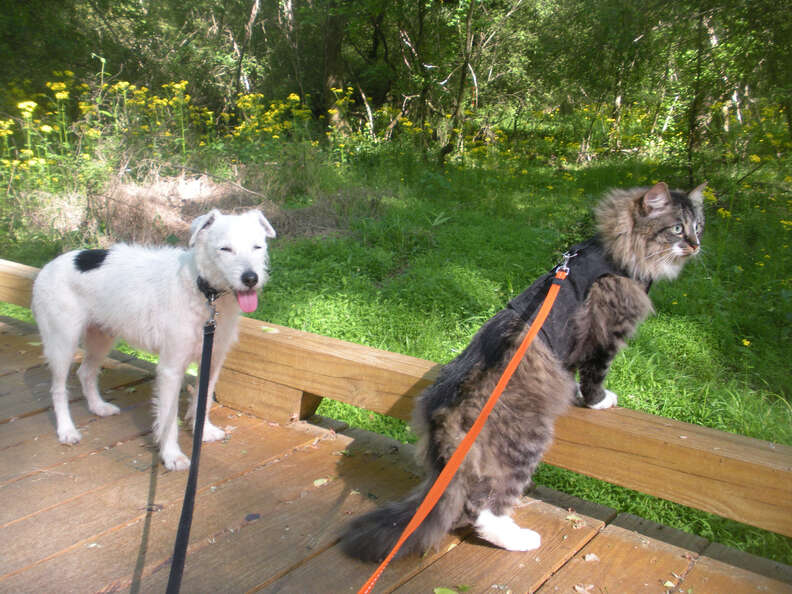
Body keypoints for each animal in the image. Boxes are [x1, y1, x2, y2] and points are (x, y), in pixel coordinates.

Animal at [31, 208, 276, 468]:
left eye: (257, 247)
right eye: (225, 249)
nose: (251, 278)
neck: (203, 291)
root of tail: (48, 266)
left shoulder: (211, 361)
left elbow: (204, 399)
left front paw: (204, 431)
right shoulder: (171, 369)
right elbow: (168, 418)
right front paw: (172, 455)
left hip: (101, 337)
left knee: (85, 372)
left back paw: (98, 407)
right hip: (62, 343)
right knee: (58, 389)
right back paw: (66, 430)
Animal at [340, 180, 704, 560]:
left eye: (698, 226)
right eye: (677, 228)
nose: (696, 244)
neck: (615, 249)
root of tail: (442, 413)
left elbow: (574, 373)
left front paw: (576, 393)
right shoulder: (606, 333)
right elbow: (594, 375)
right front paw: (599, 400)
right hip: (524, 444)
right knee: (484, 508)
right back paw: (518, 538)